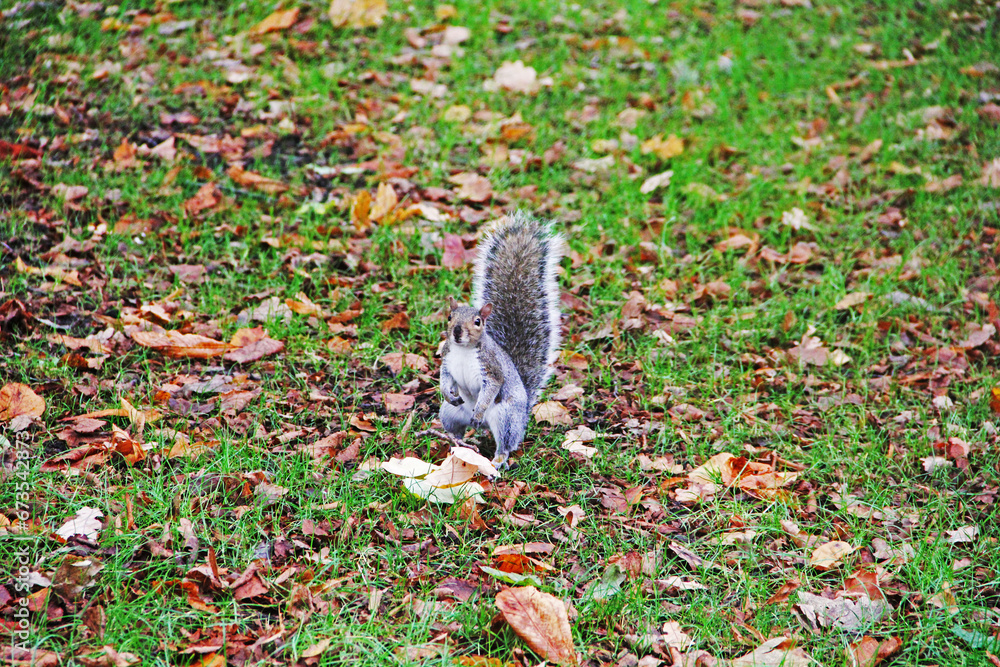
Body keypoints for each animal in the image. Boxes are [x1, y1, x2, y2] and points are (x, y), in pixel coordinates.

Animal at [438, 210, 564, 470]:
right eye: (449, 317)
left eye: (478, 321)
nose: (457, 331)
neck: (464, 350)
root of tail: (523, 415)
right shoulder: (447, 358)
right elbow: (445, 377)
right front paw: (447, 392)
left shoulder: (491, 368)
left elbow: (491, 388)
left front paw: (479, 410)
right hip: (449, 414)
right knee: (455, 428)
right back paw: (455, 441)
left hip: (505, 418)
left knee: (505, 444)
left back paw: (495, 459)